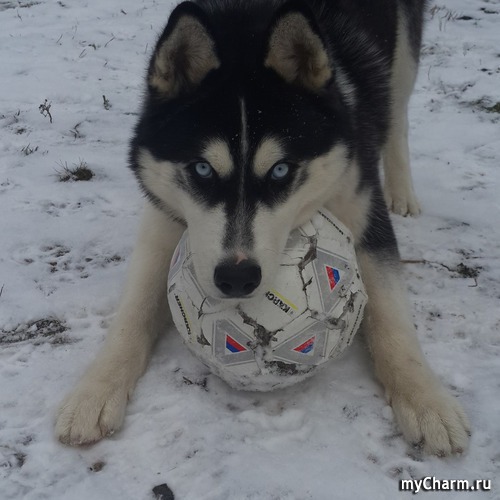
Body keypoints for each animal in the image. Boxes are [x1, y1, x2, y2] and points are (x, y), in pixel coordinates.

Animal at [55, 0, 470, 456]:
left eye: (281, 170)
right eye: (201, 169)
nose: (236, 277)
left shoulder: (361, 206)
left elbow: (394, 321)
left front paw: (426, 400)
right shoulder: (165, 220)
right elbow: (134, 312)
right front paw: (94, 391)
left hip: (403, 57)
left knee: (396, 116)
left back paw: (403, 192)